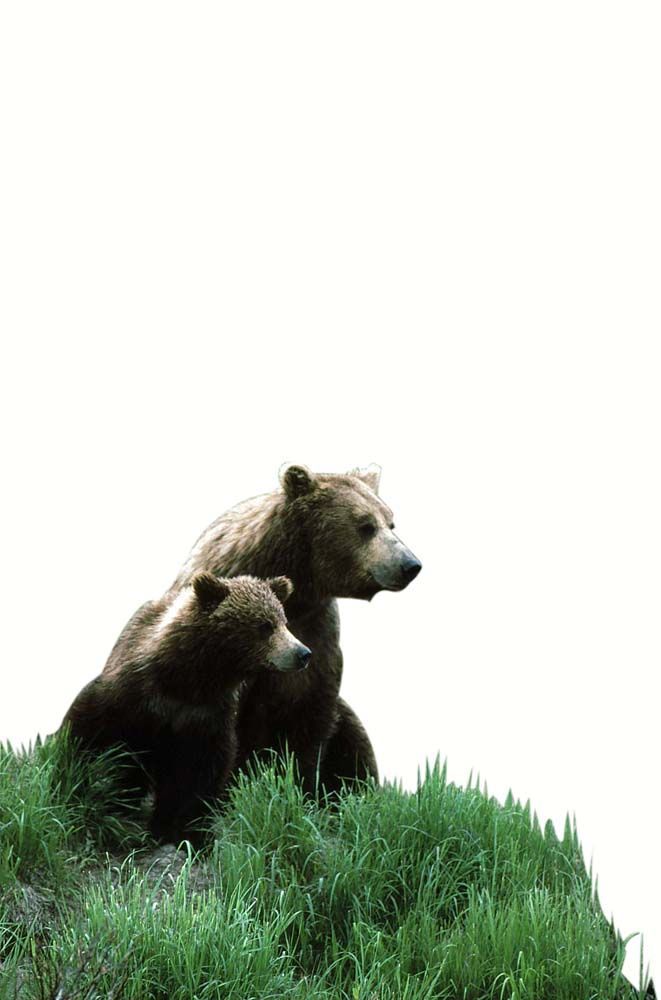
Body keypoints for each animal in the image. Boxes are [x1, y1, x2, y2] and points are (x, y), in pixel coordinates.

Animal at [62, 573, 309, 844]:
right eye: (265, 625)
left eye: (284, 621)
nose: (303, 653)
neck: (190, 681)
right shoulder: (131, 694)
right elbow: (87, 727)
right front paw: (71, 780)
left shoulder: (205, 717)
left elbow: (202, 774)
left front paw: (186, 829)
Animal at [140, 463, 422, 796]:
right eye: (365, 525)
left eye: (391, 522)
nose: (410, 565)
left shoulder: (315, 633)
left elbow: (308, 719)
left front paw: (302, 788)